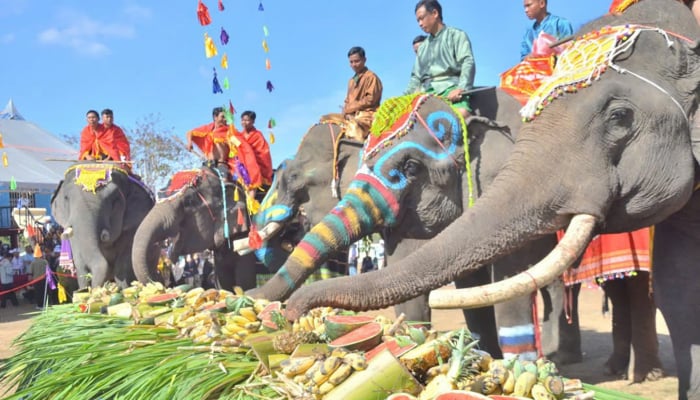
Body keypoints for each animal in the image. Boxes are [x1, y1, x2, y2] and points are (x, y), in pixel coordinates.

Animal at [51, 161, 155, 290]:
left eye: (115, 199)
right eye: (66, 198)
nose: (90, 285)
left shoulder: (134, 223)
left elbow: (125, 257)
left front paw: (123, 289)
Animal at [278, 1, 700, 398]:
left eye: (410, 167)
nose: (290, 311)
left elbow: (507, 280)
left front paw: (512, 368)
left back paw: (636, 374)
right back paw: (580, 361)